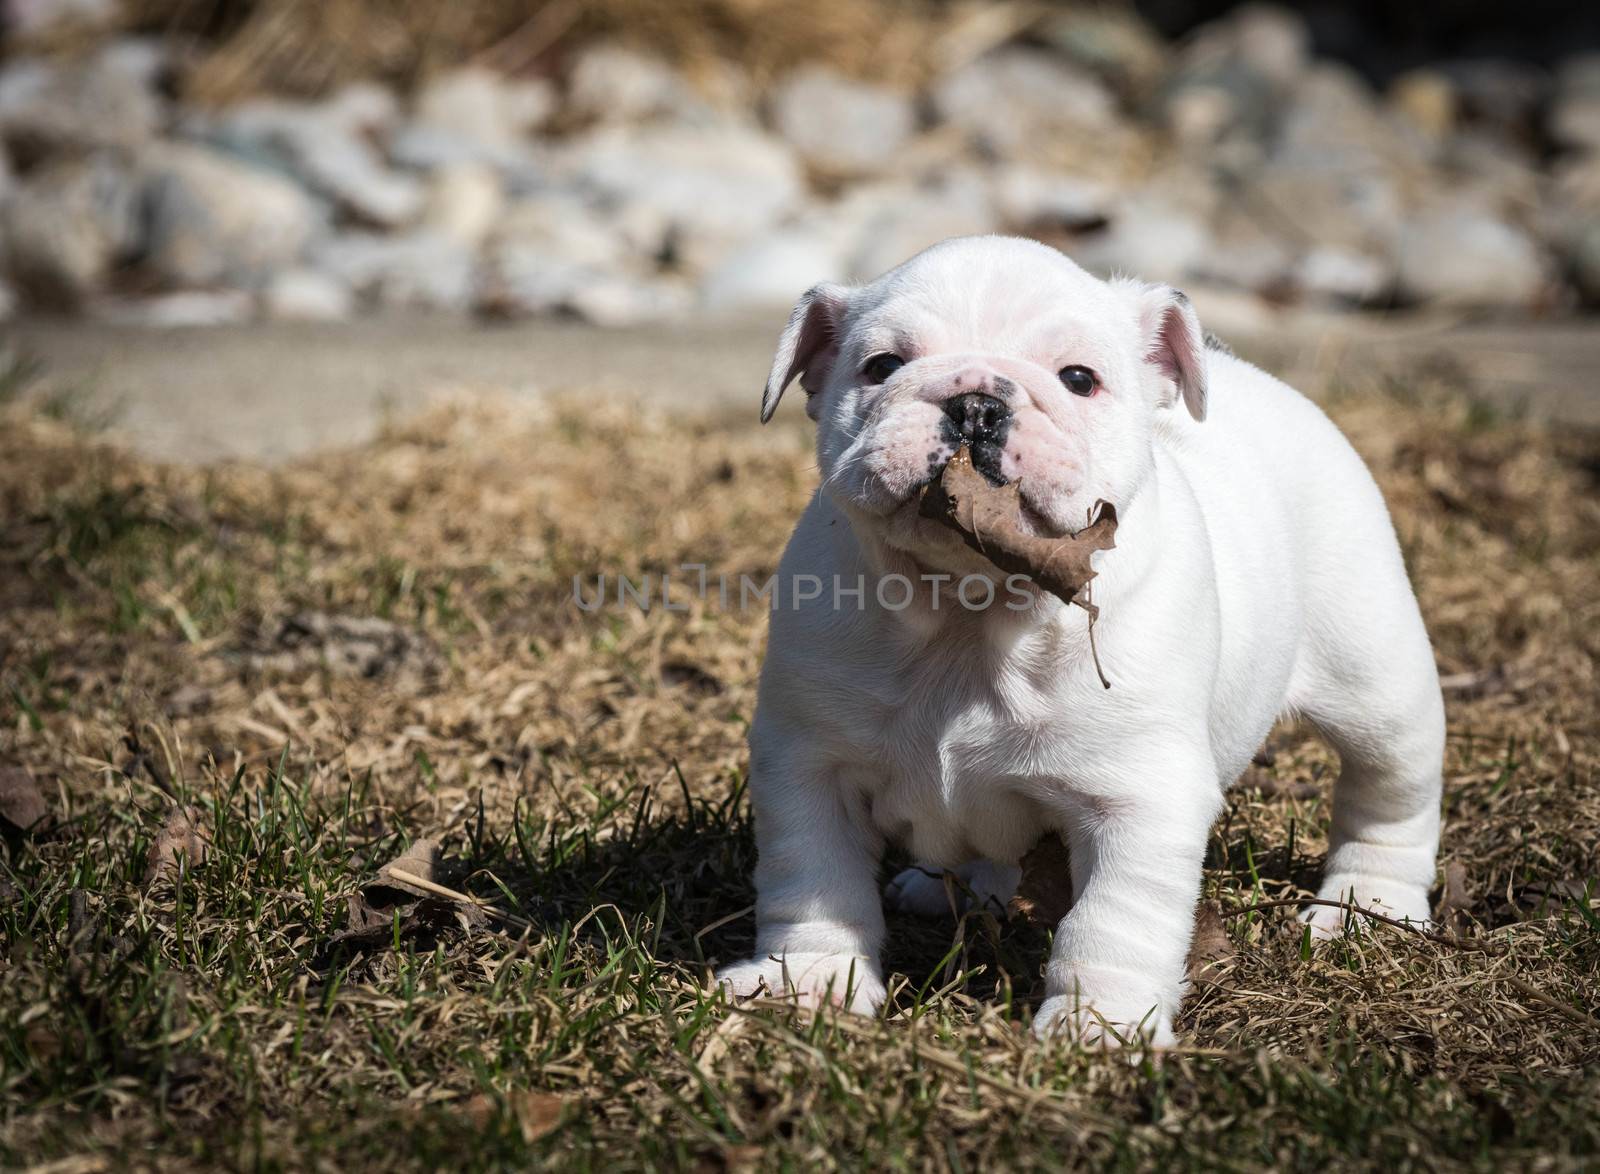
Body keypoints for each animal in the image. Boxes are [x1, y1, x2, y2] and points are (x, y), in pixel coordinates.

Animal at [720, 235, 1446, 1042]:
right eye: (880, 367)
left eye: (1078, 379)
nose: (977, 403)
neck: (969, 610)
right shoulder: (810, 765)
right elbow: (813, 880)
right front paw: (808, 982)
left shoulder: (1135, 798)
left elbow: (1113, 921)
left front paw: (1096, 1026)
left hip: (1374, 681)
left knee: (1389, 788)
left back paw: (1367, 909)